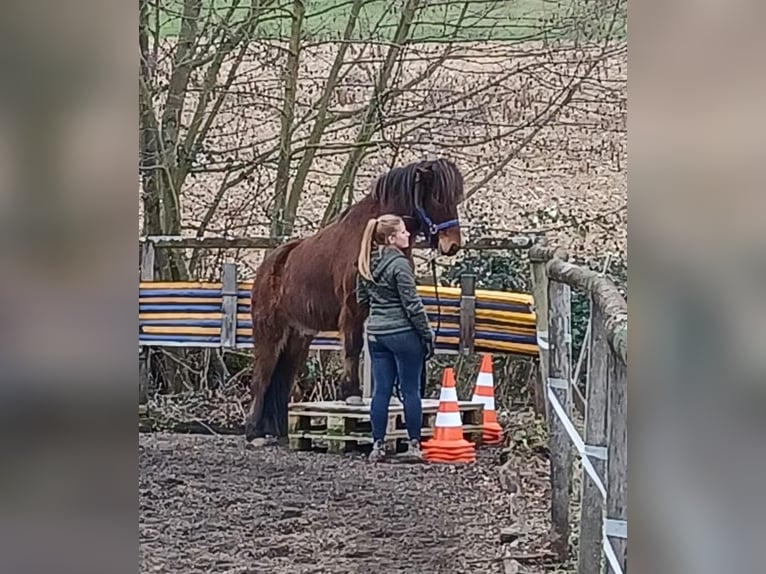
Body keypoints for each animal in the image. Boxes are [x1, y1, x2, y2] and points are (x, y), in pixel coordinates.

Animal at [246, 158, 464, 446]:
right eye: (438, 197)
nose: (452, 245)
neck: (370, 239)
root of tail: (269, 265)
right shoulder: (352, 308)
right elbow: (352, 347)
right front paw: (351, 394)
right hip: (269, 333)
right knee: (262, 377)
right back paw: (254, 433)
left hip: (298, 337)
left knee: (282, 378)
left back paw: (277, 432)